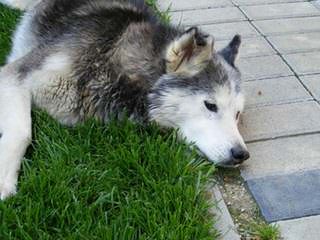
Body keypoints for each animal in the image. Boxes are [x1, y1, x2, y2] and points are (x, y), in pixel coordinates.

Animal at [0, 0, 250, 199]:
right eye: (211, 105)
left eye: (237, 114)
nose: (242, 154)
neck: (110, 54)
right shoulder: (13, 74)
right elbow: (23, 131)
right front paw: (4, 179)